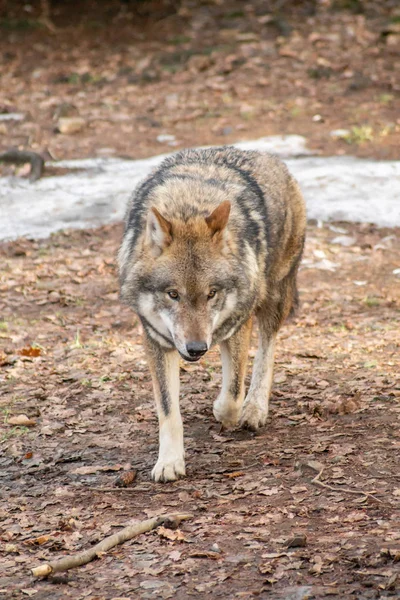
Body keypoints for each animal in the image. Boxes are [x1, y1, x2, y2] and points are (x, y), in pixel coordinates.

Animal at [119, 146, 306, 482]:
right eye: (173, 294)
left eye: (211, 294)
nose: (196, 349)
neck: (189, 204)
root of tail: (268, 156)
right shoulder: (157, 340)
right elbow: (168, 410)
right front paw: (169, 462)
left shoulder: (238, 324)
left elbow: (232, 396)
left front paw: (224, 409)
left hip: (273, 296)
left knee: (267, 350)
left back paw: (255, 408)